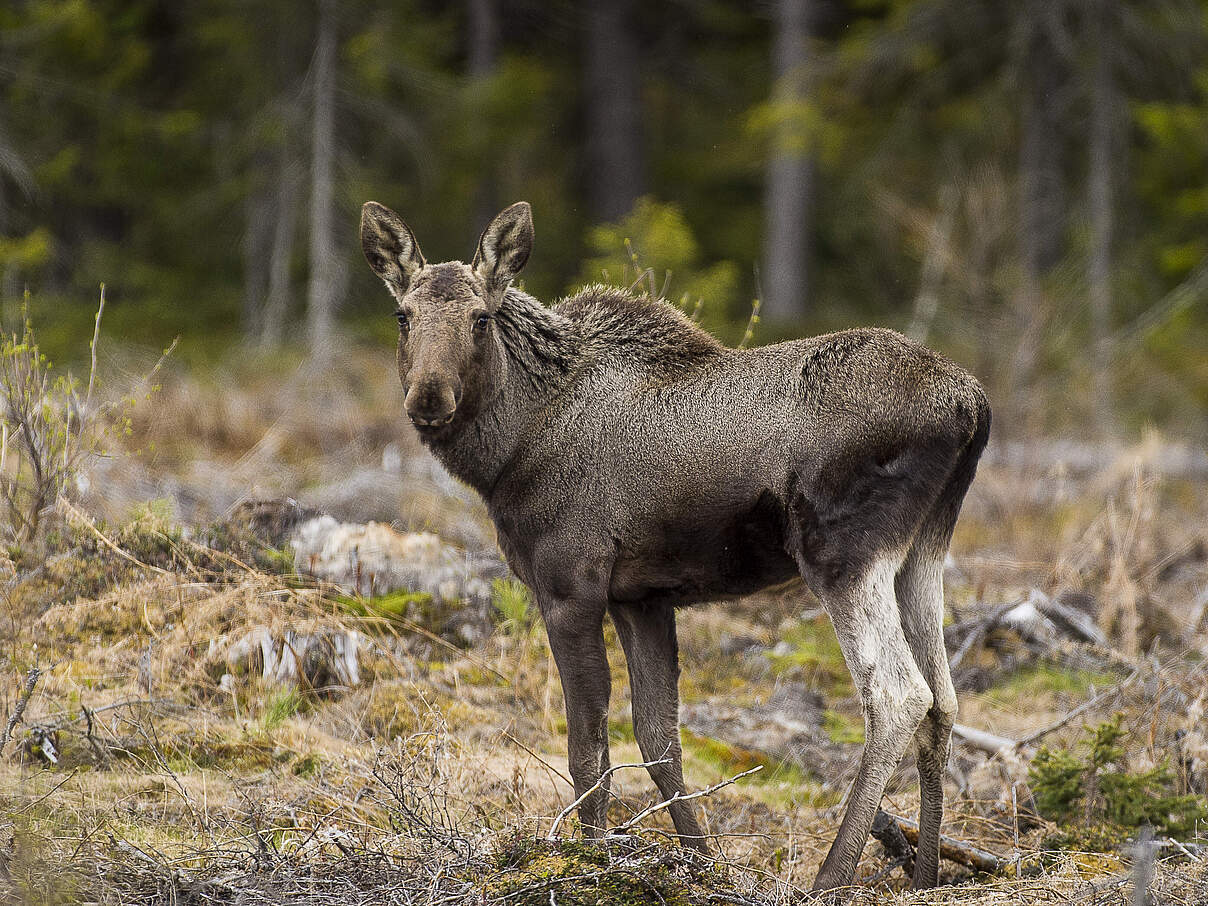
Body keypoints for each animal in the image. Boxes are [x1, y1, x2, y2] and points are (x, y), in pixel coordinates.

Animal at [357, 200, 990, 893]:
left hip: (842, 553)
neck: (508, 452)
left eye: (480, 318)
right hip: (921, 554)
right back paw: (927, 873)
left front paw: (592, 860)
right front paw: (704, 865)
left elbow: (587, 743)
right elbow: (659, 739)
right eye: (402, 314)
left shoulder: (570, 584)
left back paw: (831, 875)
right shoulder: (642, 598)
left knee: (900, 697)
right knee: (944, 701)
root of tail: (973, 405)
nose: (428, 398)